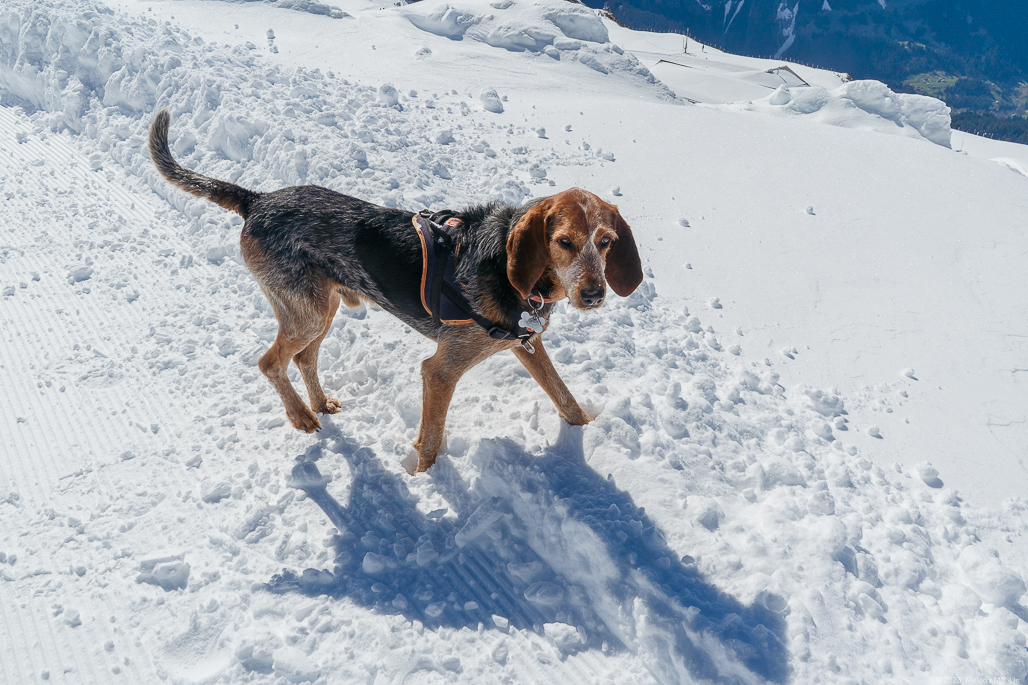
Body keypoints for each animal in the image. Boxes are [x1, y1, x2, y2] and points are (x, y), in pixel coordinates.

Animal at [150, 109, 641, 469]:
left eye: (605, 242)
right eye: (564, 242)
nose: (594, 295)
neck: (512, 271)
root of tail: (257, 199)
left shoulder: (528, 344)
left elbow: (565, 398)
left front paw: (589, 430)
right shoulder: (440, 370)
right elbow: (432, 439)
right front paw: (424, 481)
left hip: (321, 306)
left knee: (304, 358)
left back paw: (319, 404)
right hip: (306, 311)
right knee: (270, 362)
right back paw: (301, 416)